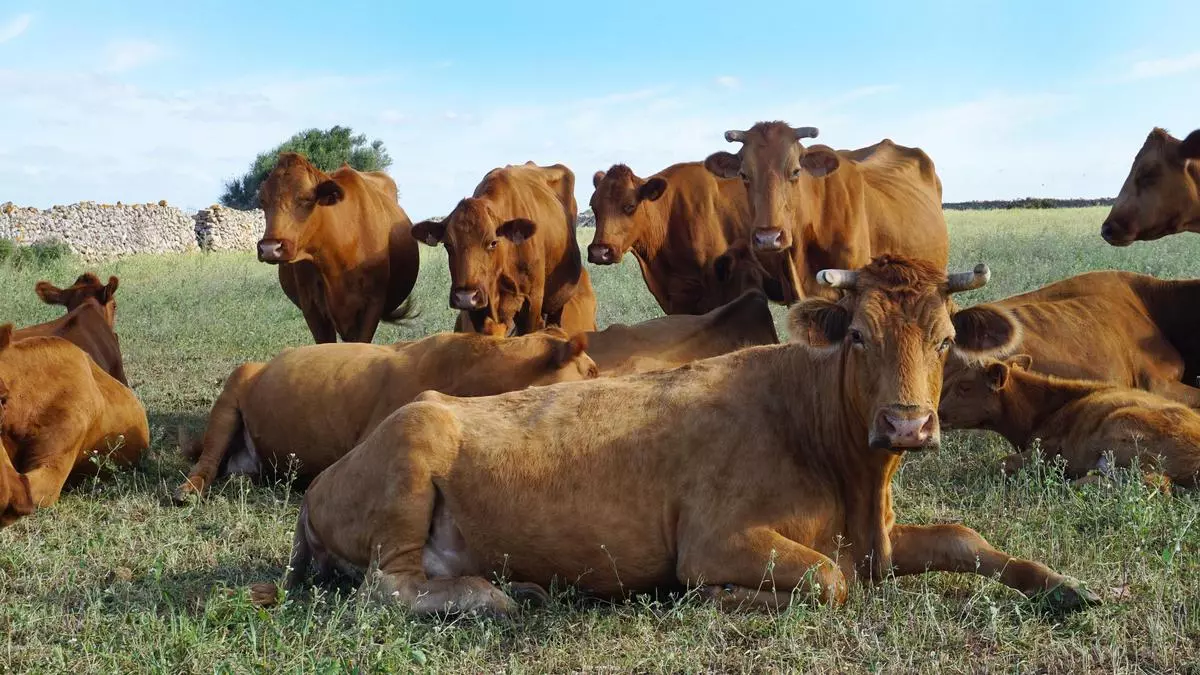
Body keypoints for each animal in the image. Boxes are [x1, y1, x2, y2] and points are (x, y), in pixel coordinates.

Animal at [411, 162, 595, 336]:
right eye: (448, 244)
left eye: (493, 242)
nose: (465, 297)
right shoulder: (479, 310)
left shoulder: (532, 303)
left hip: (556, 303)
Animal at [940, 355, 1200, 488]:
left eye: (964, 387)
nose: (938, 413)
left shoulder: (1047, 450)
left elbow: (1002, 462)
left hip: (1121, 428)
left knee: (1154, 483)